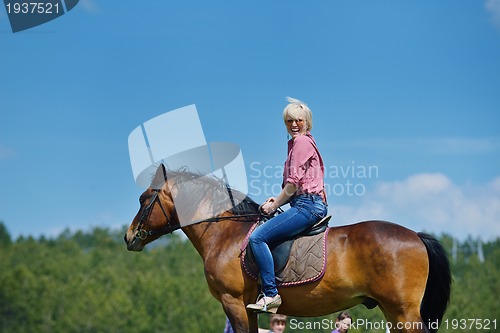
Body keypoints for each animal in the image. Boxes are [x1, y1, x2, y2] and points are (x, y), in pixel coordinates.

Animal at [124, 165, 450, 330]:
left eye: (143, 199)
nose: (129, 237)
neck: (224, 233)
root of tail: (416, 235)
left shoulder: (233, 303)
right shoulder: (248, 309)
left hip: (403, 311)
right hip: (392, 311)